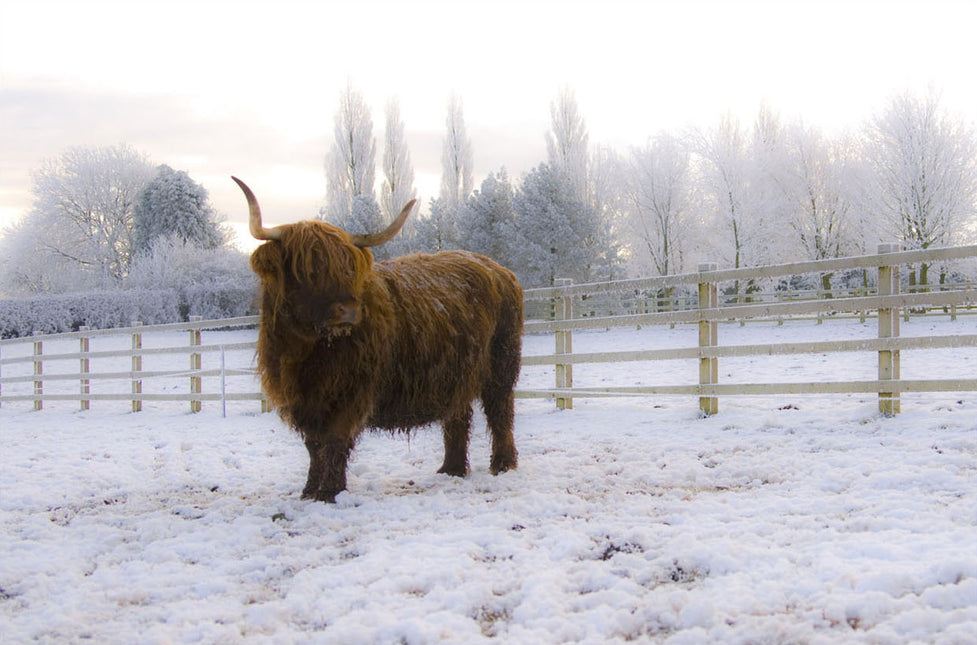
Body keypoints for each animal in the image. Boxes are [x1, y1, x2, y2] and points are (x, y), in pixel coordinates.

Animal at [234, 177, 524, 504]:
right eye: (308, 268)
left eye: (349, 267)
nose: (348, 310)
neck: (309, 352)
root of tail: (499, 269)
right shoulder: (304, 400)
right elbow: (314, 446)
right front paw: (308, 491)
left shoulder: (351, 392)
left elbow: (334, 440)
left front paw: (329, 492)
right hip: (457, 371)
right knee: (458, 416)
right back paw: (451, 470)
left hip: (501, 364)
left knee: (500, 412)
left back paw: (502, 464)